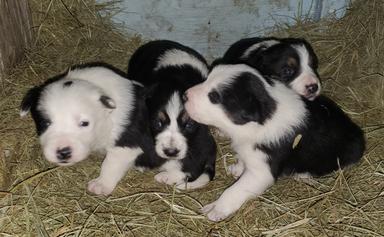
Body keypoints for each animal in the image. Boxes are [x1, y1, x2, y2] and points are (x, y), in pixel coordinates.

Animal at [20, 62, 163, 195]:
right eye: (45, 123)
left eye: (84, 123)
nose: (63, 152)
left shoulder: (127, 145)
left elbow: (111, 164)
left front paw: (101, 185)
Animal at [184, 64, 364, 221]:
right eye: (207, 78)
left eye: (214, 97)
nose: (185, 95)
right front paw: (237, 168)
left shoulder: (261, 172)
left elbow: (235, 190)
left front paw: (217, 209)